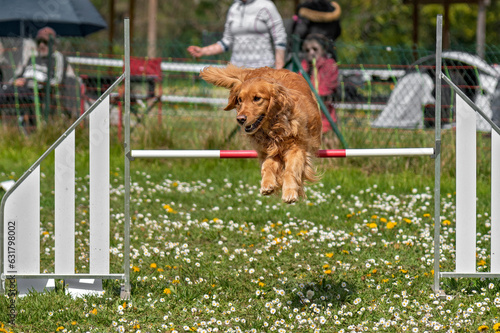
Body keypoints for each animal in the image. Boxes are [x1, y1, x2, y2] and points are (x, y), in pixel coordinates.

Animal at [201, 63, 322, 201]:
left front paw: (290, 192)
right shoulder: (268, 151)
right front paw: (267, 184)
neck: (273, 128)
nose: (240, 119)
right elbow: (267, 166)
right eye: (240, 100)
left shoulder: (296, 148)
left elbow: (291, 170)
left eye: (257, 98)